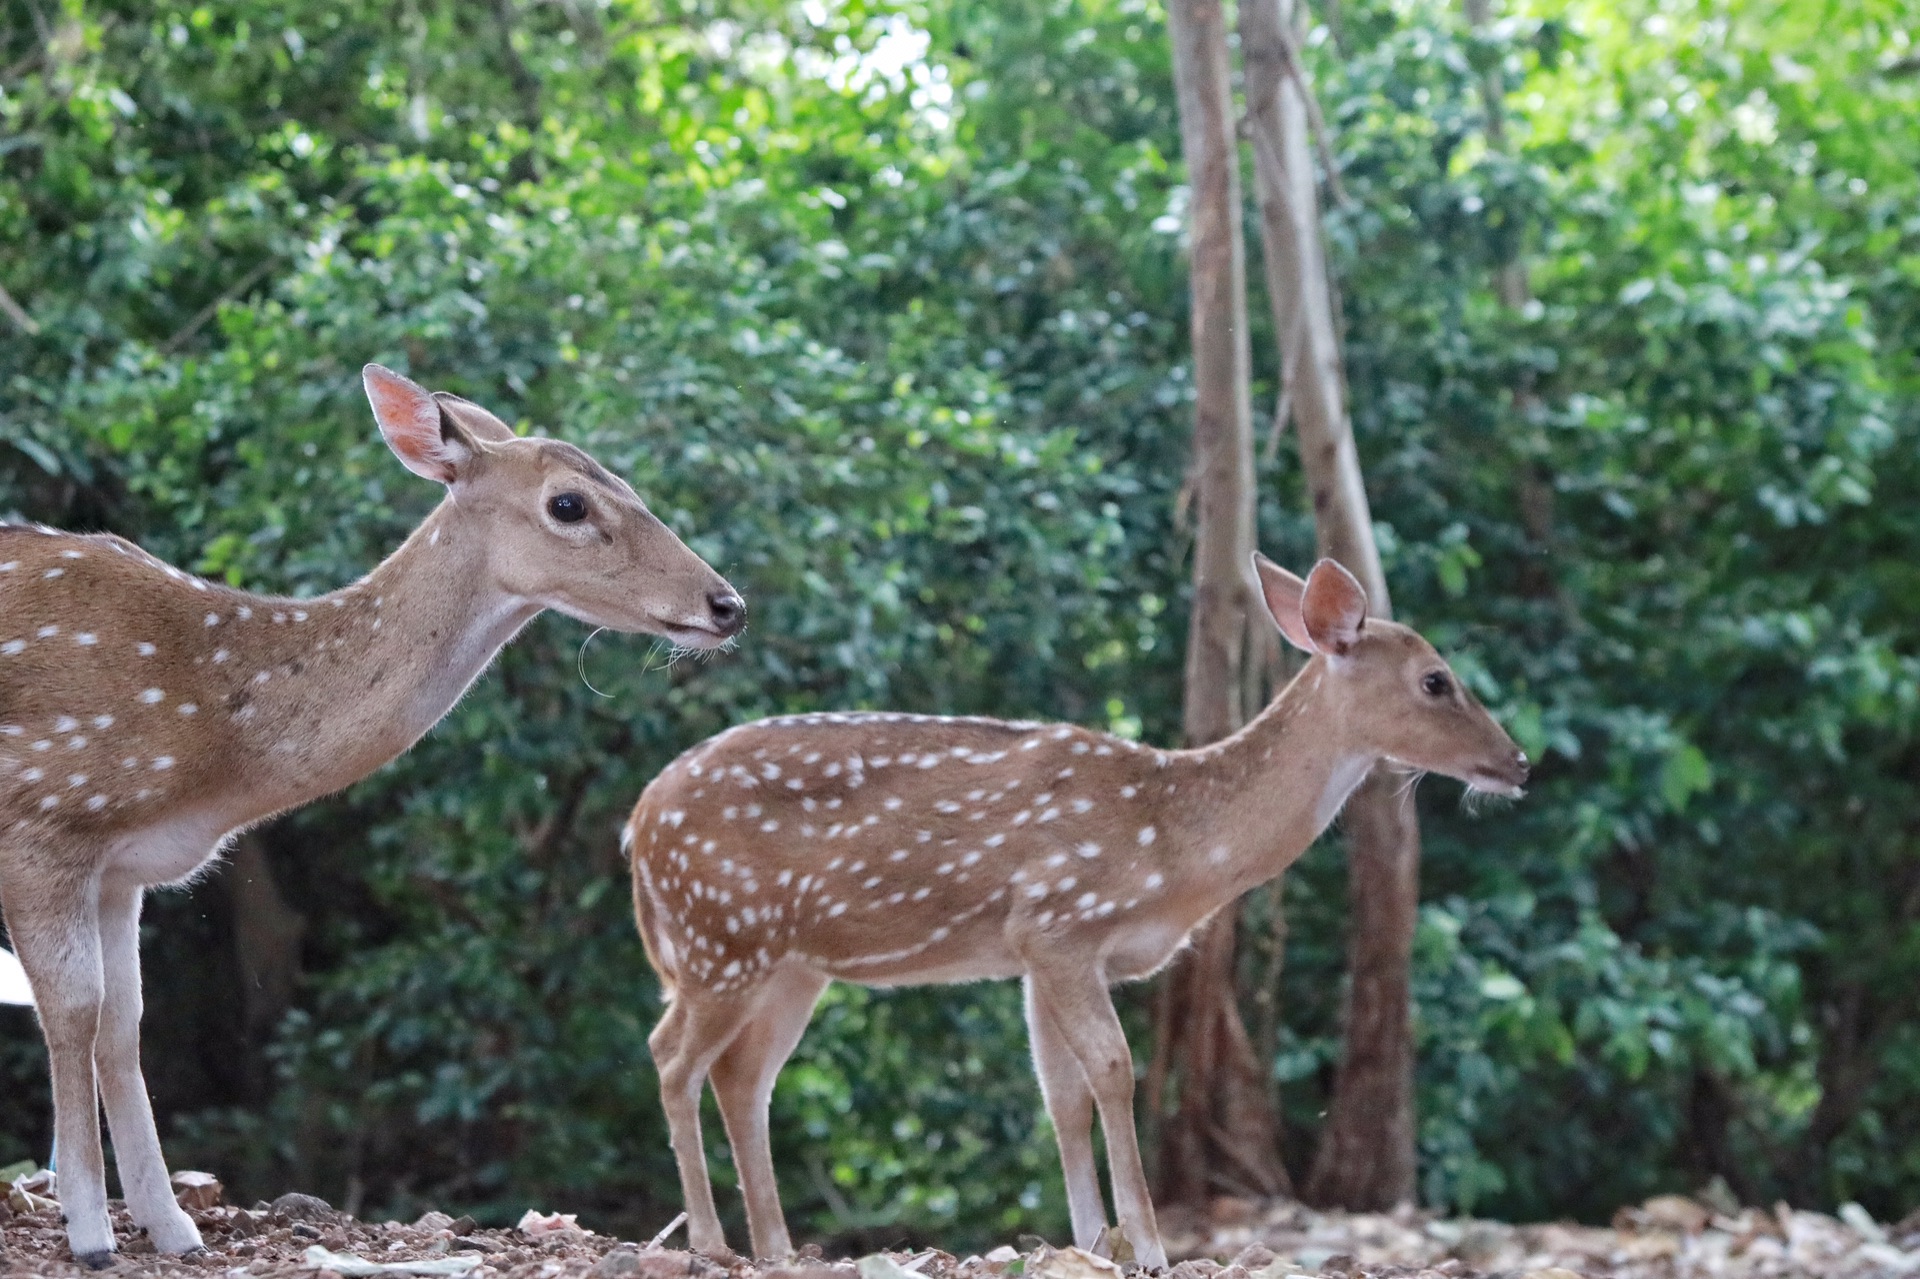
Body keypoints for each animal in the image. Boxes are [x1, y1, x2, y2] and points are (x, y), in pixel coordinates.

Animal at [0, 362, 744, 1259]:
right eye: (569, 503)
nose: (727, 604)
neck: (212, 740)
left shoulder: (123, 867)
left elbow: (124, 1020)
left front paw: (172, 1225)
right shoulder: (45, 815)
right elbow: (74, 1010)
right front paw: (87, 1229)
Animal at [629, 553, 1528, 1259]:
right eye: (1436, 679)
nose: (1519, 762)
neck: (1176, 847)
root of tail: (636, 828)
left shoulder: (1033, 955)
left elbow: (1060, 1094)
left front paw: (1094, 1241)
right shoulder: (1060, 921)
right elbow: (1114, 1069)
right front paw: (1151, 1246)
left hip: (789, 962)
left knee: (744, 1075)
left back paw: (777, 1246)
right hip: (721, 936)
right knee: (672, 1054)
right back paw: (709, 1240)